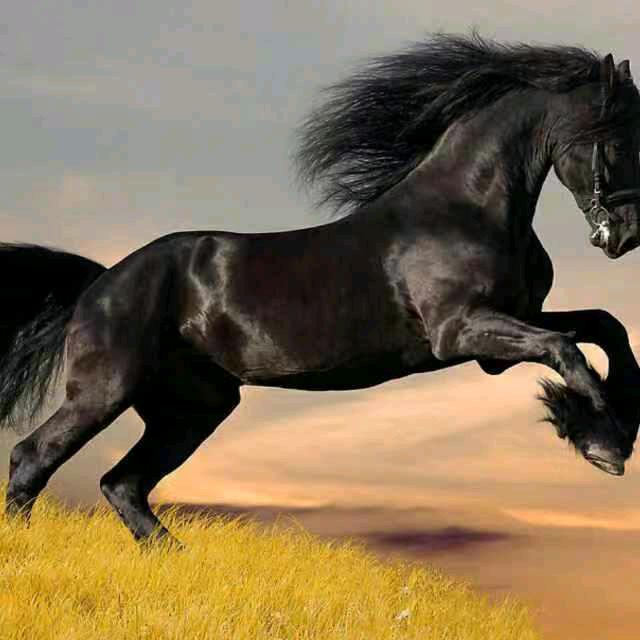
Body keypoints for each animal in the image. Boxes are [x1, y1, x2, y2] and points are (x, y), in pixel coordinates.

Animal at [3, 33, 640, 546]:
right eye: (616, 141)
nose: (627, 235)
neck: (466, 209)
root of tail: (102, 281)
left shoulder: (503, 334)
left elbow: (605, 326)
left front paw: (607, 431)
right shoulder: (460, 332)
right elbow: (566, 349)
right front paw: (602, 438)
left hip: (194, 407)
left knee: (123, 483)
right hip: (106, 388)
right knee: (34, 457)